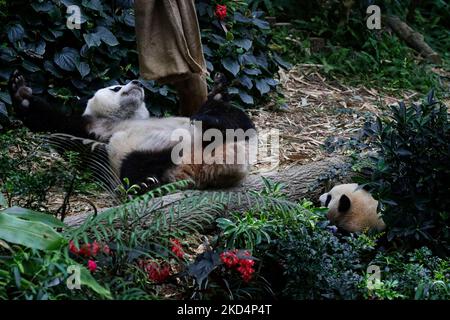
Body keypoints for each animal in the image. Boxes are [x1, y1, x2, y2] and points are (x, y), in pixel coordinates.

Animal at [7, 71, 255, 191]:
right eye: (115, 87)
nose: (137, 82)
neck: (125, 117)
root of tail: (200, 167)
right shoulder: (92, 129)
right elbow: (53, 121)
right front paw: (20, 92)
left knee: (237, 122)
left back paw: (215, 103)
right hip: (153, 152)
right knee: (136, 164)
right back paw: (147, 183)